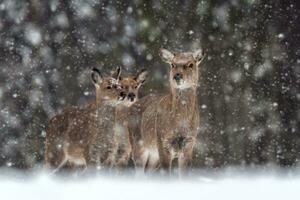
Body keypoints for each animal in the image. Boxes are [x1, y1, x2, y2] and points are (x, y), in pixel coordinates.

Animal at [127, 47, 205, 176]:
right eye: (173, 64)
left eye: (190, 64)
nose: (177, 76)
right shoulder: (163, 142)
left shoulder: (189, 143)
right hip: (138, 144)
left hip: (153, 154)